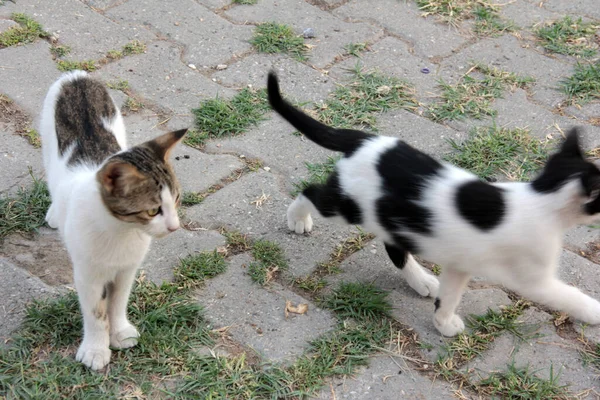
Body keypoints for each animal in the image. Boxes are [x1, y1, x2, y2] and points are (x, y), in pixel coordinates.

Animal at [40, 71, 185, 368]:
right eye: (153, 211)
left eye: (176, 199)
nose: (175, 227)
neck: (121, 230)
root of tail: (76, 75)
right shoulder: (88, 273)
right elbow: (96, 312)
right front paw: (96, 350)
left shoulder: (127, 269)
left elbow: (118, 303)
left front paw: (119, 333)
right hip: (47, 141)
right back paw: (55, 212)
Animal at [268, 72, 600, 338]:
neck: (542, 197)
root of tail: (366, 141)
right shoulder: (535, 279)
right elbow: (568, 295)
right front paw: (594, 311)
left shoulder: (459, 264)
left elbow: (449, 296)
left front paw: (443, 322)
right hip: (347, 206)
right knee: (310, 191)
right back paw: (297, 218)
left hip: (390, 216)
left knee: (394, 246)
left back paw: (421, 281)